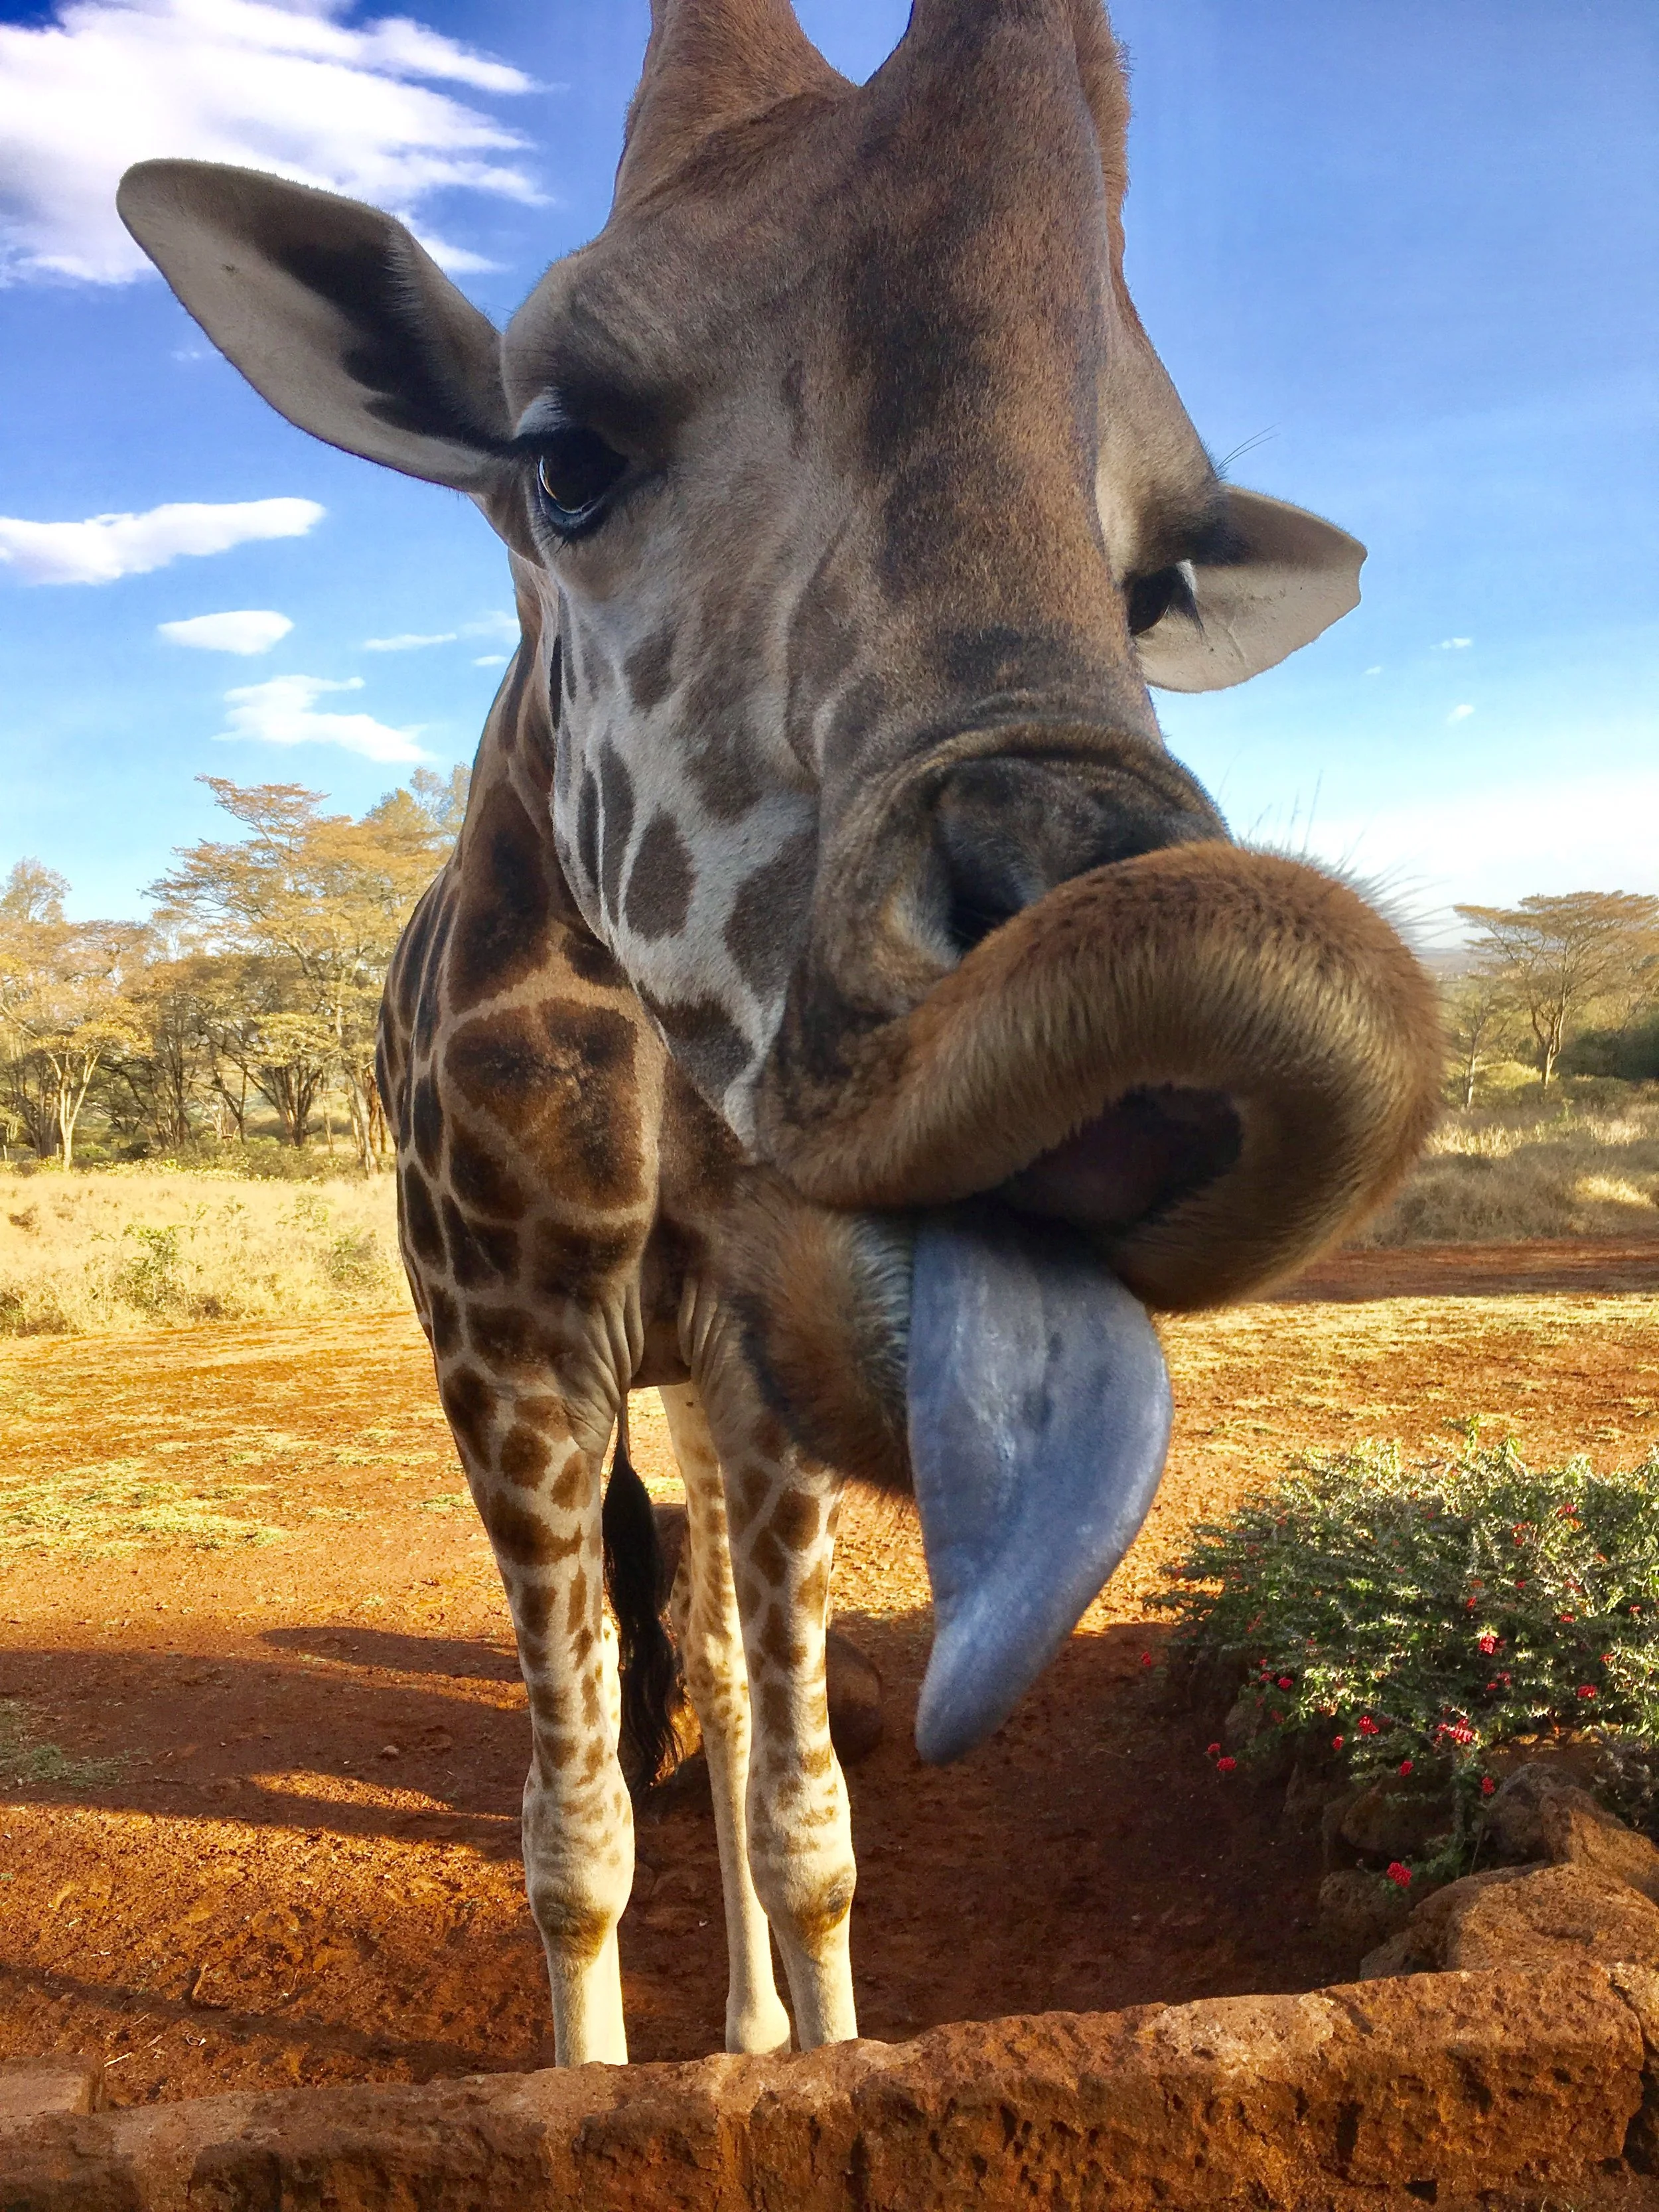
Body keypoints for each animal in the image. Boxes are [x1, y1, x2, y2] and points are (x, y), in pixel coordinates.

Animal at [118, 0, 1443, 2068]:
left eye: (1159, 577)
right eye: (562, 459)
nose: (1137, 1097)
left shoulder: (762, 1377)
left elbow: (808, 1814)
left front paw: (801, 2057)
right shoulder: (507, 1356)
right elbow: (575, 1835)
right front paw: (597, 2082)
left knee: (739, 1694)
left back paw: (743, 2030)